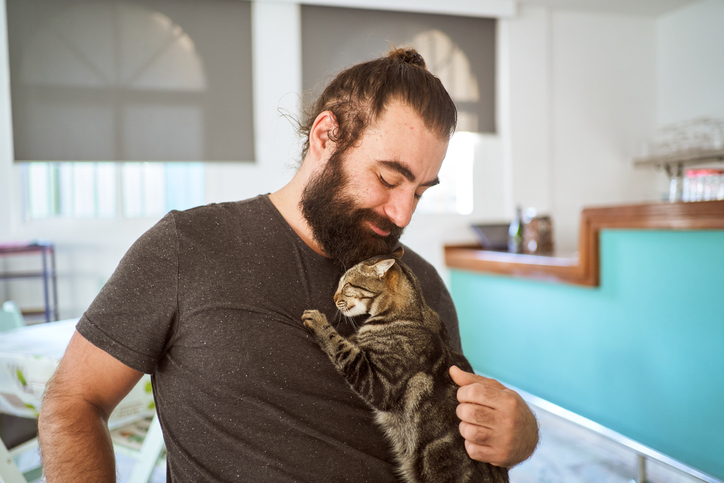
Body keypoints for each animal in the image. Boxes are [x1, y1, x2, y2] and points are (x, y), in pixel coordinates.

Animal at [302, 250, 510, 483]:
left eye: (346, 285)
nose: (333, 298)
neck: (413, 311)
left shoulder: (378, 383)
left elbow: (340, 346)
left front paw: (318, 322)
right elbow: (351, 341)